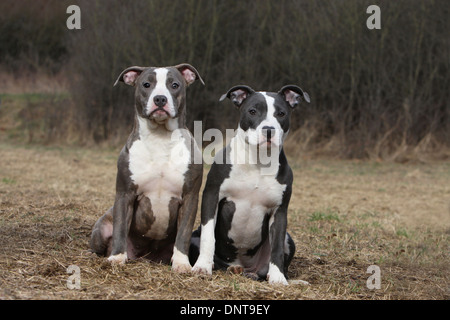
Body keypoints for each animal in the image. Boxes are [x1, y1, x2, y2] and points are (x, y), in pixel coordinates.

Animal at [190, 85, 310, 284]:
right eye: (252, 111)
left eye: (281, 113)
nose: (268, 130)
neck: (258, 161)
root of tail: (245, 267)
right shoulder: (212, 196)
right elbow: (208, 236)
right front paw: (202, 267)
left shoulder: (279, 211)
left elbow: (277, 247)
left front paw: (278, 279)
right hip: (195, 238)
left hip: (288, 239)